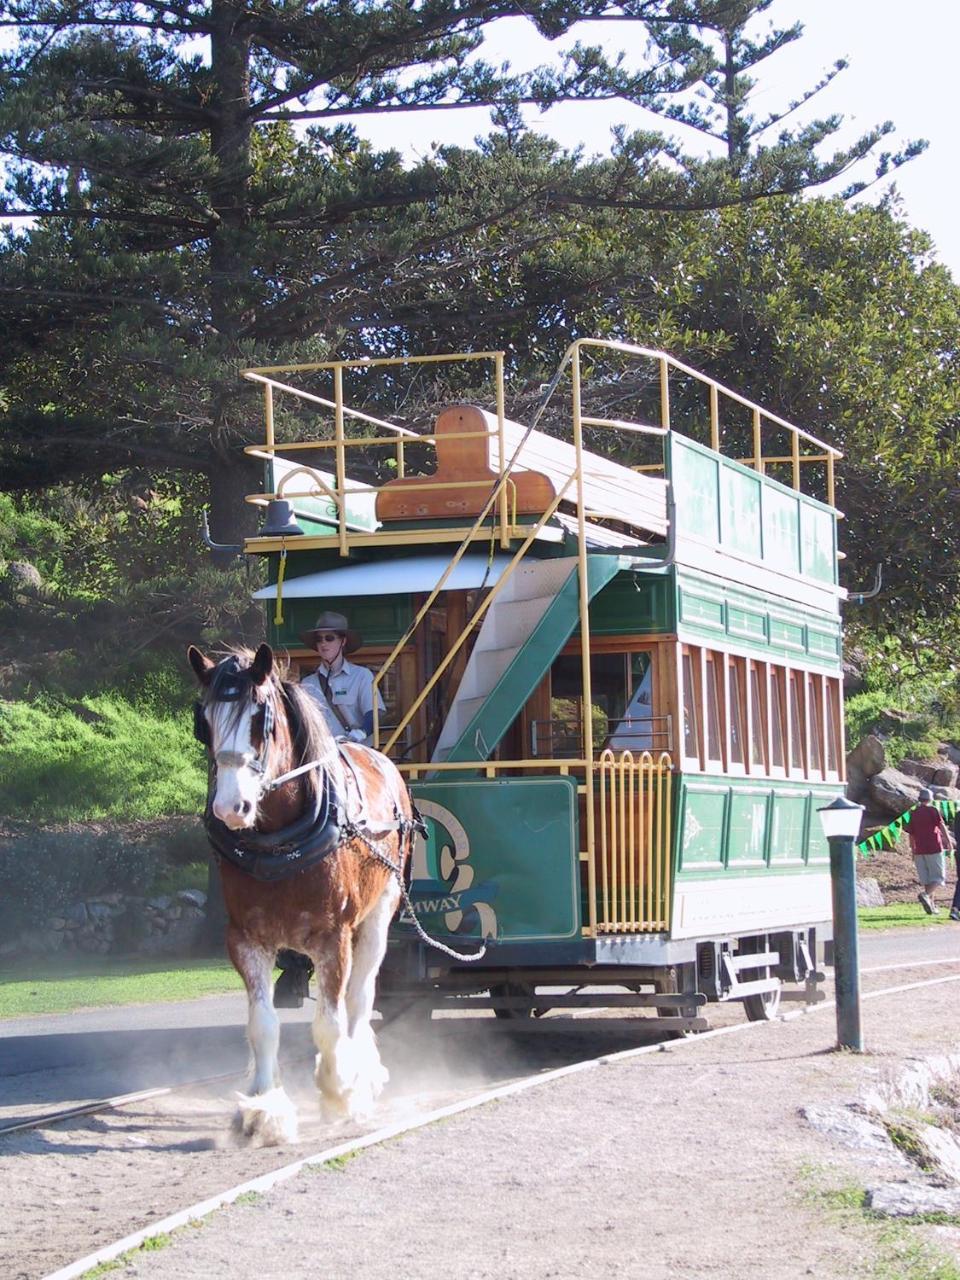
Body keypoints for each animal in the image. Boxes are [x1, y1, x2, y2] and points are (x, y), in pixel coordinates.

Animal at [186, 645, 414, 1146]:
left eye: (261, 719)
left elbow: (330, 1024)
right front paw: (263, 1106)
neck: (279, 841)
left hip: (379, 914)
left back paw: (361, 1074)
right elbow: (262, 1025)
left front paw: (340, 1093)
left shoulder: (334, 938)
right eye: (203, 721)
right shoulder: (246, 939)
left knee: (360, 997)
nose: (230, 808)